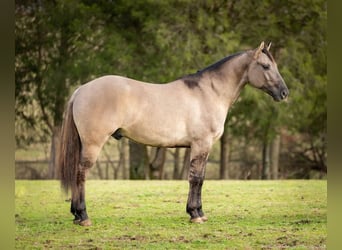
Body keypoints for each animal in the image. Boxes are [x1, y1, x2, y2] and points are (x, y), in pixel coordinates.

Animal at [58, 41, 288, 225]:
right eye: (265, 66)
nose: (284, 93)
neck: (209, 92)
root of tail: (81, 90)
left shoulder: (201, 147)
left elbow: (199, 178)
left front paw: (198, 212)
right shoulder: (201, 144)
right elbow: (196, 178)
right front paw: (195, 214)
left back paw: (76, 215)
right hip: (93, 144)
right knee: (81, 174)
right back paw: (83, 216)